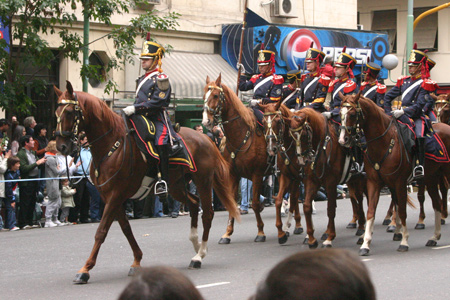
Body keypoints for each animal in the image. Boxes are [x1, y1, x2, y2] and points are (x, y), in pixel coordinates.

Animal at [54, 81, 241, 282]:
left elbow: (101, 232)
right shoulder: (111, 197)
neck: (111, 146)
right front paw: (136, 261)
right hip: (176, 186)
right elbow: (126, 228)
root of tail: (207, 138)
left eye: (69, 112)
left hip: (203, 181)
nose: (61, 147)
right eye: (56, 112)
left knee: (207, 213)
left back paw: (199, 255)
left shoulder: (115, 196)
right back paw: (195, 243)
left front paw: (85, 269)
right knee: (193, 203)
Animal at [203, 74, 290, 243]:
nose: (206, 121)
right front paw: (227, 233)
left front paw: (260, 232)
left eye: (215, 95)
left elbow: (255, 203)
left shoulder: (257, 174)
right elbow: (232, 204)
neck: (240, 135)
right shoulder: (233, 175)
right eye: (204, 95)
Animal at [258, 101, 304, 244]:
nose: (271, 149)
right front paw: (282, 232)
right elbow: (279, 199)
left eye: (278, 121)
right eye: (263, 121)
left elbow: (294, 199)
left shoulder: (299, 177)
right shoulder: (286, 176)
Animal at [284, 108, 370, 248]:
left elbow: (330, 209)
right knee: (357, 198)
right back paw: (361, 226)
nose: (301, 160)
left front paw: (329, 237)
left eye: (304, 135)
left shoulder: (330, 182)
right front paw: (311, 239)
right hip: (353, 180)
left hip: (362, 179)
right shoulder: (312, 181)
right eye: (291, 136)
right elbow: (307, 206)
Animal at [340, 92, 450, 255]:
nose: (343, 139)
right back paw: (434, 237)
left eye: (352, 114)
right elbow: (370, 211)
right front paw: (365, 243)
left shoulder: (399, 183)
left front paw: (404, 241)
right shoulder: (373, 182)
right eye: (340, 114)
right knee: (436, 203)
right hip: (431, 177)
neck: (384, 142)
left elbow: (402, 210)